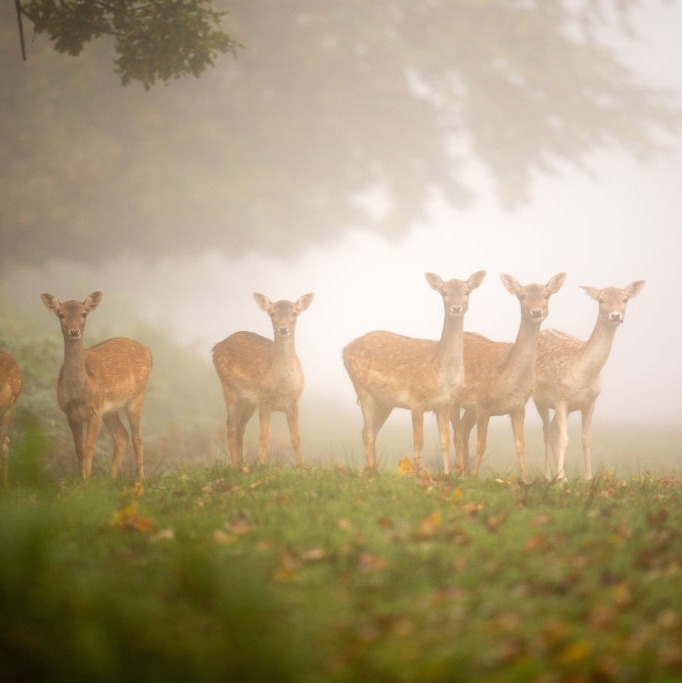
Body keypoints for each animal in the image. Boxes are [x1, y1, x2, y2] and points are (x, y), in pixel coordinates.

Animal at [41, 291, 152, 481]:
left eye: (84, 313)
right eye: (60, 314)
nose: (74, 331)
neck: (80, 389)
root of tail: (149, 352)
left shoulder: (95, 410)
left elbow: (89, 448)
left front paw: (88, 481)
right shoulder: (70, 413)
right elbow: (79, 450)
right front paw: (82, 481)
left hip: (137, 396)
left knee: (137, 439)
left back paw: (140, 481)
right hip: (110, 410)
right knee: (122, 437)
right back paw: (111, 479)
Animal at [212, 292, 314, 467]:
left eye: (294, 313)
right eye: (272, 314)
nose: (283, 329)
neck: (282, 384)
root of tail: (216, 347)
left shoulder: (293, 401)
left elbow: (296, 438)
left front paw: (302, 467)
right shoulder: (264, 400)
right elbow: (264, 437)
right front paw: (260, 465)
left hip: (248, 401)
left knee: (239, 427)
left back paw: (242, 464)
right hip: (228, 387)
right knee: (230, 426)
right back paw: (235, 465)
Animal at [343, 271, 487, 473]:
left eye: (467, 291)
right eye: (444, 292)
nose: (456, 308)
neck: (441, 373)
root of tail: (345, 350)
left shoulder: (444, 404)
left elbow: (444, 440)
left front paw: (446, 474)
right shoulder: (416, 400)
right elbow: (419, 440)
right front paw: (416, 473)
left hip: (384, 402)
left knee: (368, 431)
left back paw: (373, 469)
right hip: (363, 390)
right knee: (368, 433)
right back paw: (371, 472)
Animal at [452, 272, 566, 482]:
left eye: (546, 295)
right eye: (522, 296)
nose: (536, 311)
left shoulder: (518, 407)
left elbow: (521, 445)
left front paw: (526, 480)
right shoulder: (483, 404)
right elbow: (482, 445)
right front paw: (477, 478)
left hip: (469, 408)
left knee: (463, 430)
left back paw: (464, 473)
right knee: (456, 432)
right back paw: (461, 473)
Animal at [534, 280, 645, 481]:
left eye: (625, 299)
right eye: (601, 300)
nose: (615, 315)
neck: (585, 374)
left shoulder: (590, 402)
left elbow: (586, 439)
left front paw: (588, 478)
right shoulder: (560, 399)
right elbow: (564, 439)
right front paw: (560, 481)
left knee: (552, 431)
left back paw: (562, 475)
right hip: (539, 399)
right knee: (546, 431)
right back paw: (549, 476)